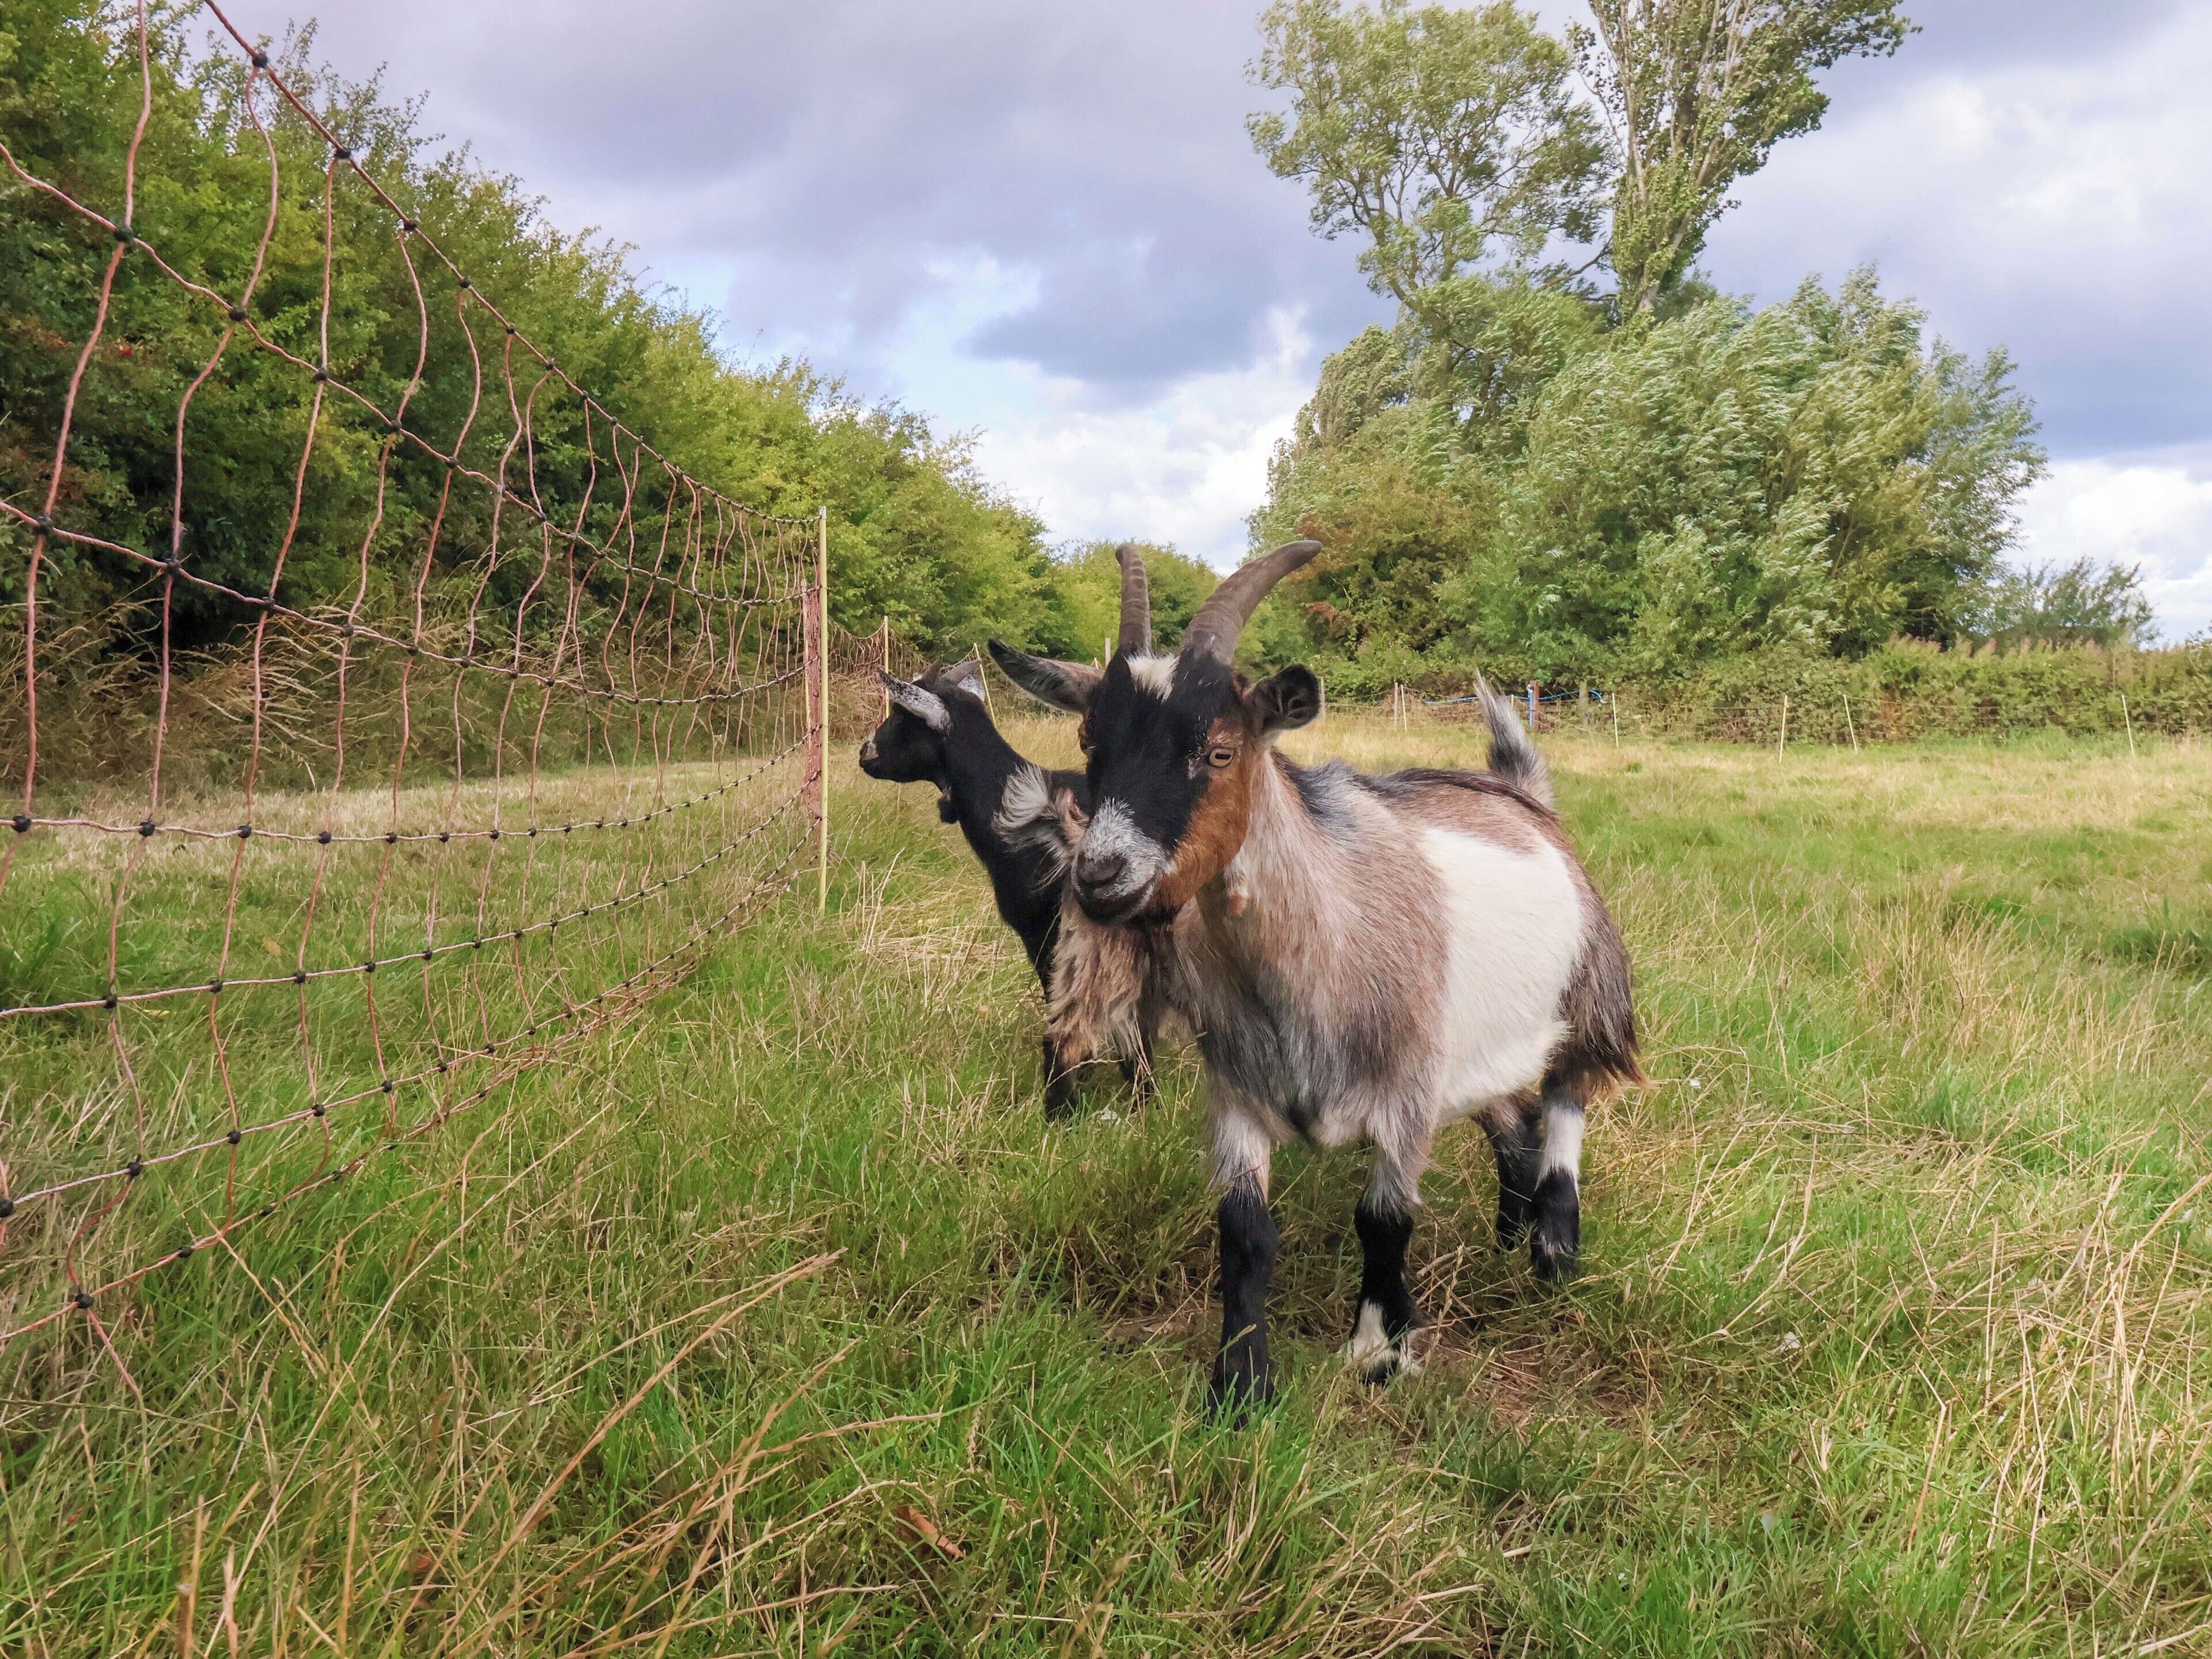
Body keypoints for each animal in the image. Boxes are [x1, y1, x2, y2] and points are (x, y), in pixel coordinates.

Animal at [990, 541, 1642, 1410]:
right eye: (1092, 743)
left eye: (1220, 751)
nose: (1098, 876)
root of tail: (1524, 796)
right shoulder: (1238, 1087)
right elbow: (1243, 1232)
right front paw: (1240, 1385)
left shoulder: (1405, 1093)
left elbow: (1385, 1222)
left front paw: (1378, 1351)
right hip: (1477, 1046)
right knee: (1516, 1120)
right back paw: (1509, 1234)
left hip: (1590, 986)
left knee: (1569, 1094)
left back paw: (1554, 1245)